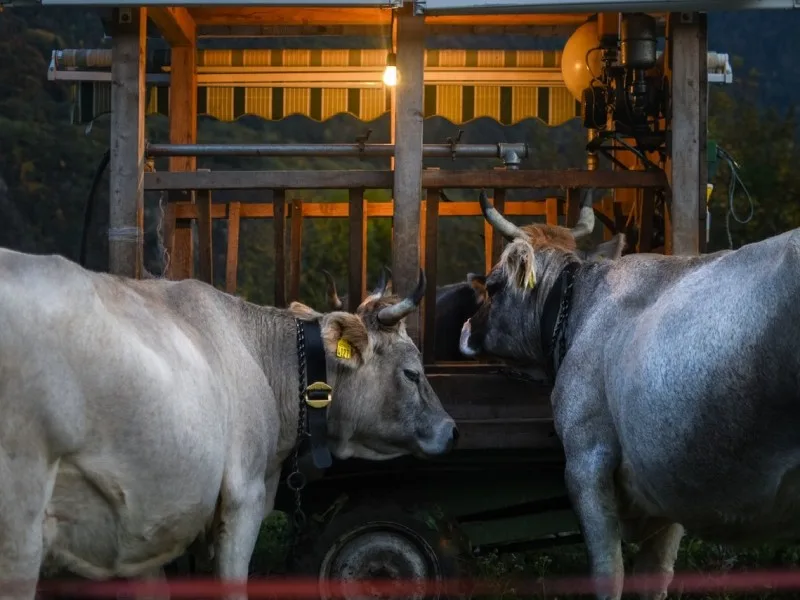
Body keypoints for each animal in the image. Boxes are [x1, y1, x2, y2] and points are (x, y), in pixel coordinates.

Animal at [458, 187, 800, 600]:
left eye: (493, 286)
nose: (465, 329)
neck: (584, 309)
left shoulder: (586, 463)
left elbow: (609, 573)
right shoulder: (667, 479)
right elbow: (655, 574)